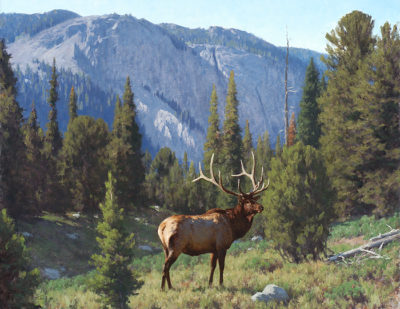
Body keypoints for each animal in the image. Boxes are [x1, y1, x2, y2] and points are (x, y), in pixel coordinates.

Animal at [156, 153, 268, 290]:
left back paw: (168, 287)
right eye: (247, 201)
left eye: (254, 199)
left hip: (165, 248)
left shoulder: (213, 248)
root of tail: (161, 227)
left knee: (166, 266)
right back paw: (164, 288)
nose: (261, 207)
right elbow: (221, 266)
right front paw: (221, 284)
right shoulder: (221, 245)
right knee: (165, 266)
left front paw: (210, 284)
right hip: (176, 245)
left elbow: (212, 266)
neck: (233, 227)